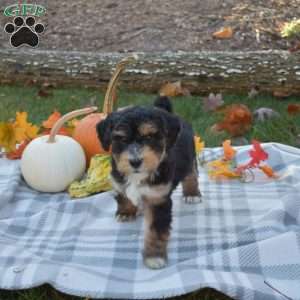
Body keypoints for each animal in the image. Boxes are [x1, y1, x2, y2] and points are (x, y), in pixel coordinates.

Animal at [96, 96, 202, 270]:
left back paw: (192, 194)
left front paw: (154, 257)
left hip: (190, 155)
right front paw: (126, 212)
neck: (137, 176)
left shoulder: (157, 199)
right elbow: (124, 194)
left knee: (191, 174)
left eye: (150, 137)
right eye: (121, 139)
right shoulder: (118, 179)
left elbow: (155, 231)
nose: (135, 161)